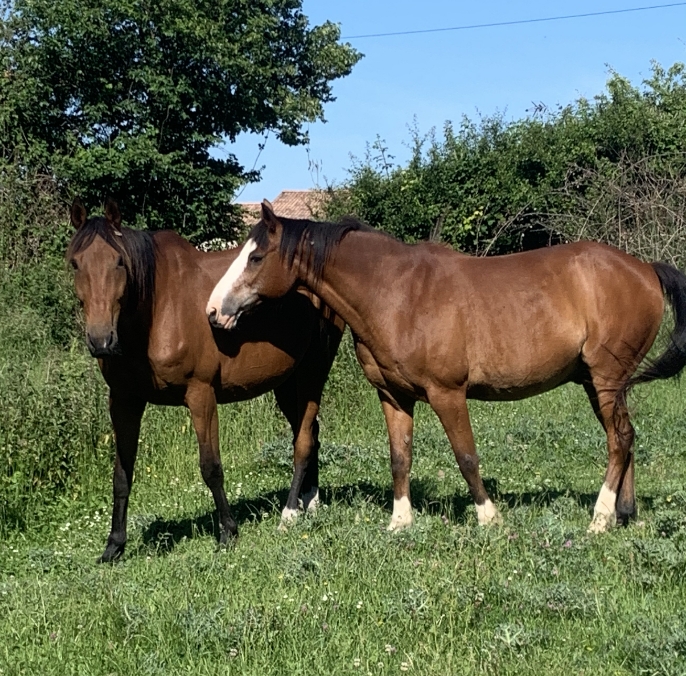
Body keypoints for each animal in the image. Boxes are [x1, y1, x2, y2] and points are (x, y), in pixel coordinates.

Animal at [70, 198, 344, 564]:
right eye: (75, 263)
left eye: (118, 262)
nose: (101, 340)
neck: (158, 309)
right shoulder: (124, 400)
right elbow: (121, 474)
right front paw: (114, 545)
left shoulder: (200, 395)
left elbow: (210, 466)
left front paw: (228, 532)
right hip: (287, 381)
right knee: (309, 432)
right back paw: (309, 500)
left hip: (313, 370)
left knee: (304, 438)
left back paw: (295, 509)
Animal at [207, 201, 686, 532]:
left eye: (255, 258)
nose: (213, 311)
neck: (398, 293)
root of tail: (644, 268)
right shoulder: (393, 396)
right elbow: (400, 457)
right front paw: (400, 522)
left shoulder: (447, 393)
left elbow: (466, 455)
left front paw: (489, 518)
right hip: (599, 383)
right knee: (623, 438)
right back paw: (623, 514)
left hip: (606, 379)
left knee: (619, 440)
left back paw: (599, 519)